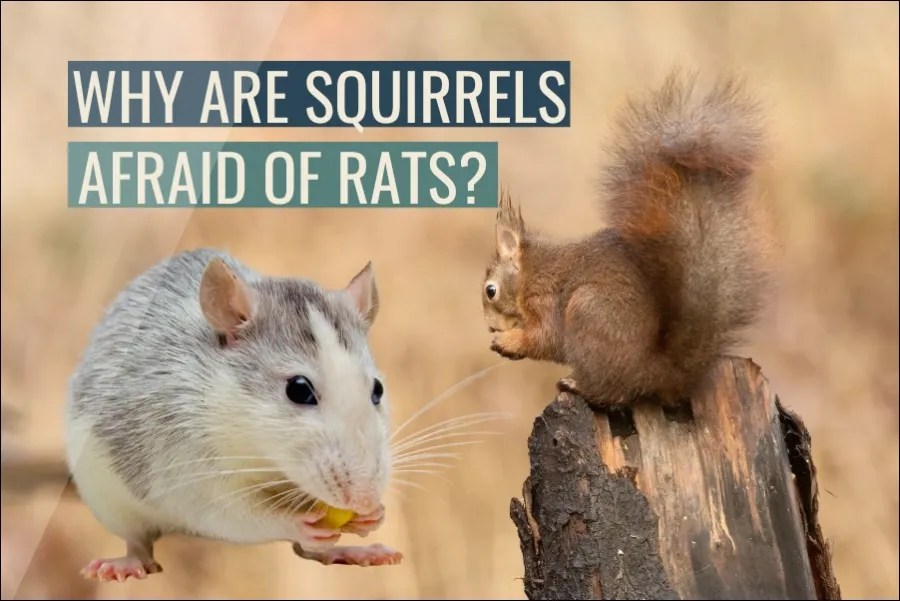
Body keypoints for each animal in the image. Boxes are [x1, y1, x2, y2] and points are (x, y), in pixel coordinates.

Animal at [481, 71, 771, 408]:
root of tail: (659, 373)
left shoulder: (547, 301)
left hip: (588, 311)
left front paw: (509, 341)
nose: (490, 326)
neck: (530, 274)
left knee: (614, 391)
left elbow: (545, 339)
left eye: (490, 291)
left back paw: (578, 385)